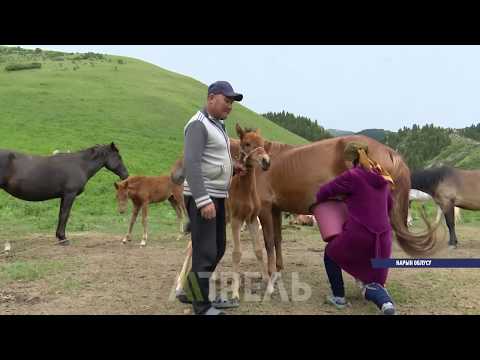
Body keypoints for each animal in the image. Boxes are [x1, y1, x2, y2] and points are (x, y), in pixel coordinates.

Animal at [0, 142, 128, 252]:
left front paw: (59, 237)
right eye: (119, 157)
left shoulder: (63, 196)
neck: (80, 165)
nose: (126, 175)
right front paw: (63, 238)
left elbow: (61, 214)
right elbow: (65, 215)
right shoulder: (69, 195)